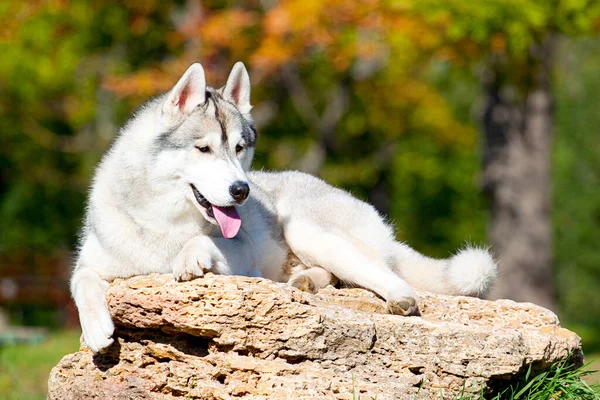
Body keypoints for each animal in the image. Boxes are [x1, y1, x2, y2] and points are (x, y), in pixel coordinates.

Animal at [72, 61, 496, 352]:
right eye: (203, 148)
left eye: (239, 148)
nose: (242, 190)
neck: (159, 219)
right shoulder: (89, 263)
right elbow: (82, 282)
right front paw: (95, 329)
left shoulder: (241, 260)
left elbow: (202, 243)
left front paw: (189, 255)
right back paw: (306, 281)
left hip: (305, 230)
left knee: (387, 276)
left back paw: (398, 299)